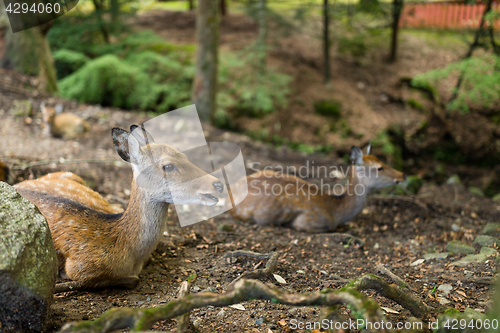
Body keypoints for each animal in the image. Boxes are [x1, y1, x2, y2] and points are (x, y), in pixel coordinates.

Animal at [14, 125, 224, 290]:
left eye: (185, 156)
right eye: (168, 166)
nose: (218, 184)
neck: (129, 252)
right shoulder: (80, 266)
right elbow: (132, 280)